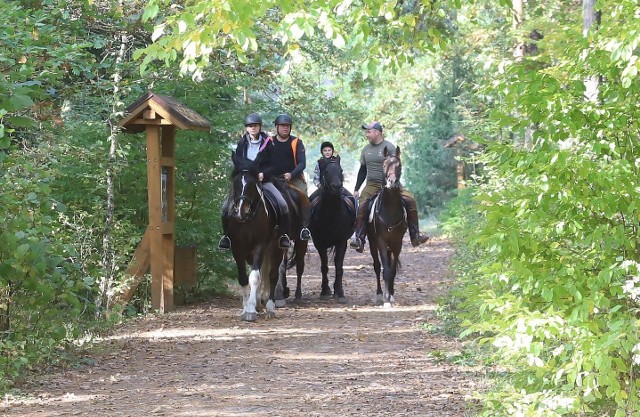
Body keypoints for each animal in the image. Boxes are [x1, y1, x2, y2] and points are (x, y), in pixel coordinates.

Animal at [225, 151, 284, 320]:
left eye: (252, 184)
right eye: (235, 182)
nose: (240, 212)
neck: (247, 220)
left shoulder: (260, 246)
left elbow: (255, 277)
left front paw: (250, 310)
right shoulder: (237, 248)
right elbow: (243, 278)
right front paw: (246, 308)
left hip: (276, 247)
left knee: (272, 275)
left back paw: (270, 308)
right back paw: (258, 303)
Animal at [308, 156, 356, 302]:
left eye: (341, 170)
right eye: (326, 171)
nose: (337, 187)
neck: (331, 215)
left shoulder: (341, 241)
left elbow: (339, 266)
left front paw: (339, 292)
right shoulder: (319, 242)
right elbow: (324, 266)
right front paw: (325, 291)